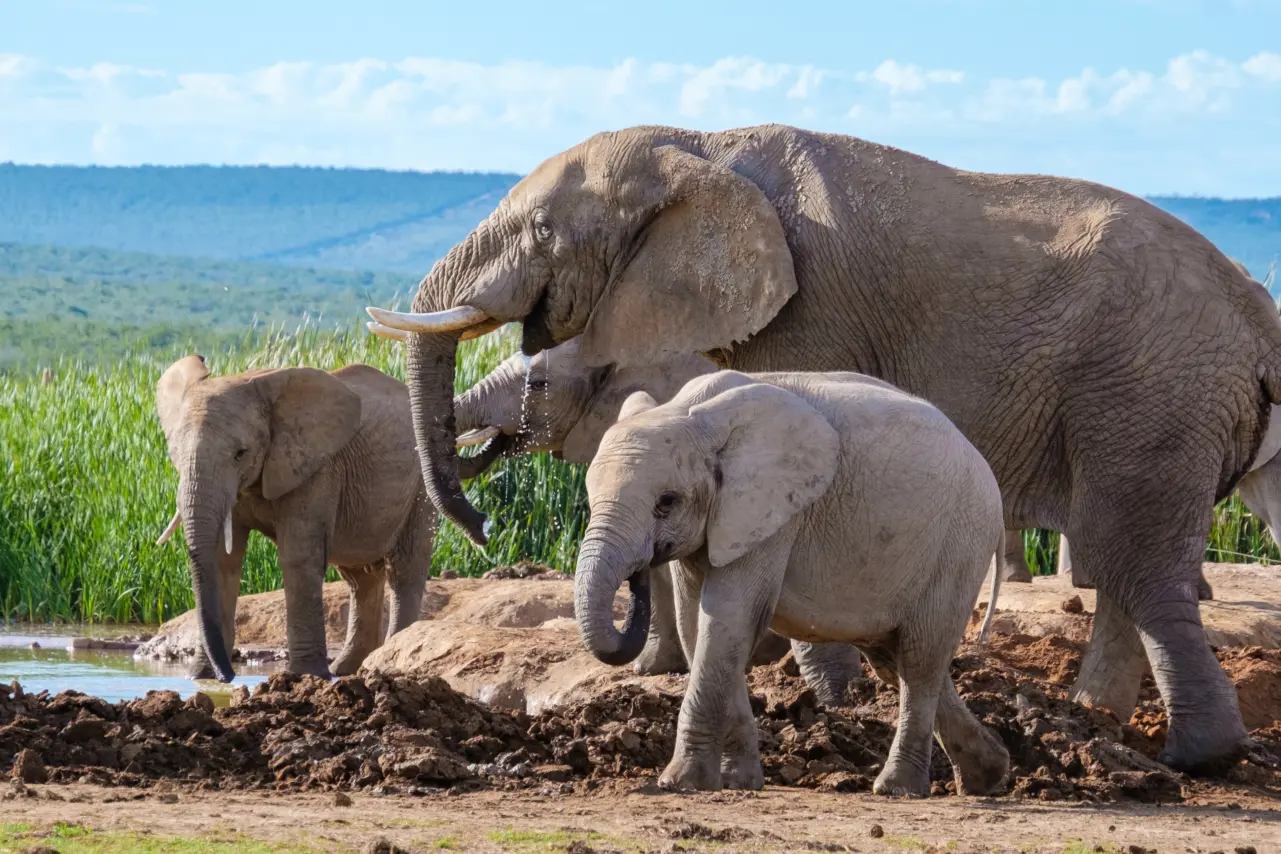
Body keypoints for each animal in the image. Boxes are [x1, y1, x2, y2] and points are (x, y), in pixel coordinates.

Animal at [153, 353, 435, 681]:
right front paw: (201, 678)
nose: (230, 675)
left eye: (240, 453)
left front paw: (305, 677)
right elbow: (225, 559)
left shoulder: (315, 469)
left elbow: (298, 557)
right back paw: (347, 670)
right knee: (360, 578)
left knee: (404, 570)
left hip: (421, 484)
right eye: (174, 452)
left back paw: (386, 663)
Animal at [579, 371, 1009, 798]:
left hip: (959, 542)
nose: (637, 575)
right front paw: (738, 782)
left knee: (920, 660)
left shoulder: (773, 515)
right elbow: (699, 627)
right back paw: (987, 777)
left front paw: (683, 783)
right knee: (898, 661)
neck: (690, 412)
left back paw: (898, 789)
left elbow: (728, 619)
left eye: (666, 502)